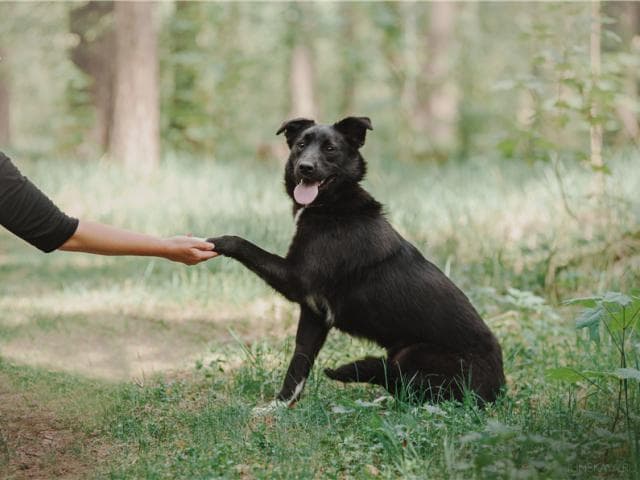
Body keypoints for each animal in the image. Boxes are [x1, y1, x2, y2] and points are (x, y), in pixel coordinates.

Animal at [210, 116, 504, 404]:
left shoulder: (297, 279)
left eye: (330, 148)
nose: (305, 167)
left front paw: (212, 242)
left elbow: (241, 243)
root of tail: (498, 390)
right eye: (301, 145)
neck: (333, 206)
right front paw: (282, 404)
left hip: (414, 353)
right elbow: (299, 362)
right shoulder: (314, 314)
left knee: (411, 386)